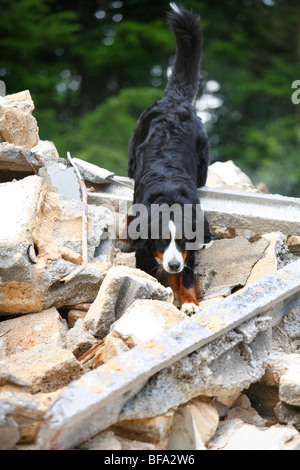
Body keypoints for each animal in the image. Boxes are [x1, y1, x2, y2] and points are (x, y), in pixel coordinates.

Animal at [127, 3, 212, 316]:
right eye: (163, 240)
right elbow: (148, 272)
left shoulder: (190, 248)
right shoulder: (143, 246)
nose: (173, 263)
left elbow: (186, 275)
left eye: (183, 238)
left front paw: (188, 302)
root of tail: (175, 99)